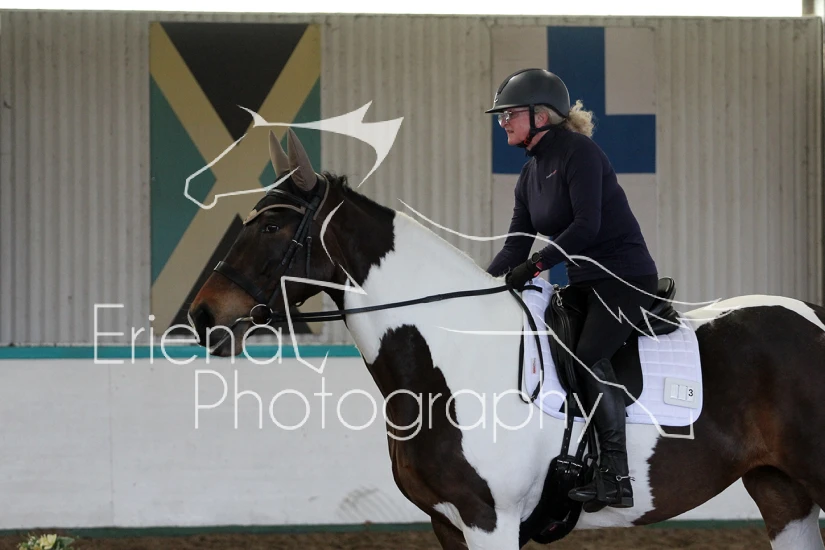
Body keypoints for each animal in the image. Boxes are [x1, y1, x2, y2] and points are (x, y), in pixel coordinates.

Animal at [188, 128, 825, 550]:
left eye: (273, 225)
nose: (202, 316)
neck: (449, 359)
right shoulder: (448, 522)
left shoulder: (489, 521)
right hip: (782, 493)